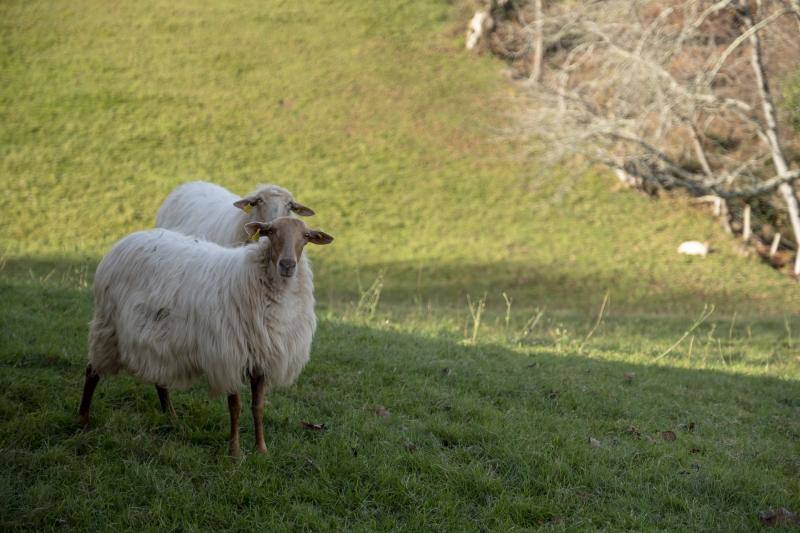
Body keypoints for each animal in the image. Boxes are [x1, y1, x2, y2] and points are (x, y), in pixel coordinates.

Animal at [78, 217, 333, 456]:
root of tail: (126, 240)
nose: (288, 265)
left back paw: (171, 417)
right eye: (270, 232)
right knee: (92, 372)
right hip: (108, 325)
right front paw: (235, 452)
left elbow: (258, 407)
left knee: (159, 376)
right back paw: (83, 419)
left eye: (306, 236)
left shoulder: (262, 360)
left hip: (157, 334)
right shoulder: (230, 355)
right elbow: (235, 407)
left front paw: (261, 449)